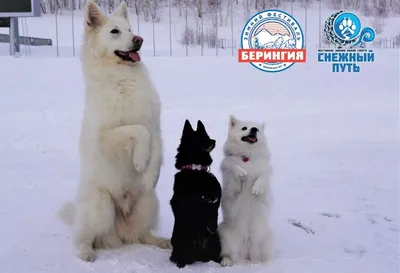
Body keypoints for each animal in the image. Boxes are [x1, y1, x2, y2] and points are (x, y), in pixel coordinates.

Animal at [57, 0, 170, 262]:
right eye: (115, 32)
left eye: (130, 30)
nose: (139, 39)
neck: (123, 78)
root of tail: (119, 234)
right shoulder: (105, 137)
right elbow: (138, 131)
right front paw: (139, 161)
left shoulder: (155, 124)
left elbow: (155, 148)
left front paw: (150, 174)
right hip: (100, 206)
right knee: (85, 237)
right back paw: (86, 252)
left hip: (149, 203)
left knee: (142, 234)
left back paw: (160, 241)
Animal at [170, 119, 223, 268]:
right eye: (198, 138)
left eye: (206, 135)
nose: (213, 140)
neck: (196, 169)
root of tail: (198, 252)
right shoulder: (184, 200)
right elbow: (197, 197)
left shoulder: (217, 196)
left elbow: (214, 207)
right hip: (180, 240)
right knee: (180, 256)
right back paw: (181, 263)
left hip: (214, 241)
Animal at [217, 115, 274, 266]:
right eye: (244, 128)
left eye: (257, 129)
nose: (253, 129)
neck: (247, 156)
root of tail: (247, 250)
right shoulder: (232, 188)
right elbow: (233, 167)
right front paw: (241, 172)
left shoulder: (265, 171)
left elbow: (262, 176)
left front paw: (256, 189)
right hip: (226, 236)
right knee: (228, 254)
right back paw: (227, 261)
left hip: (267, 239)